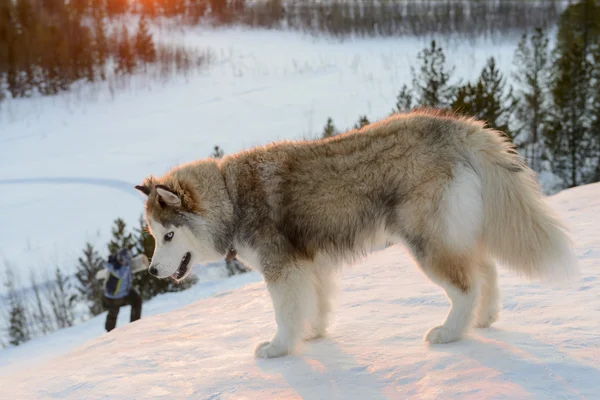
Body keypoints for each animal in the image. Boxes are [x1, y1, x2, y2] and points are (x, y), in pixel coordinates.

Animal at [135, 108, 576, 358]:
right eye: (154, 236)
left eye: (168, 236)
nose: (152, 272)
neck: (230, 195)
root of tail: (456, 127)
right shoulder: (309, 265)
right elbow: (317, 305)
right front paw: (313, 335)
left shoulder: (283, 270)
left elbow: (285, 314)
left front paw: (279, 349)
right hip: (454, 233)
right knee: (486, 272)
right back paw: (483, 320)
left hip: (425, 241)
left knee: (467, 285)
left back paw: (451, 333)